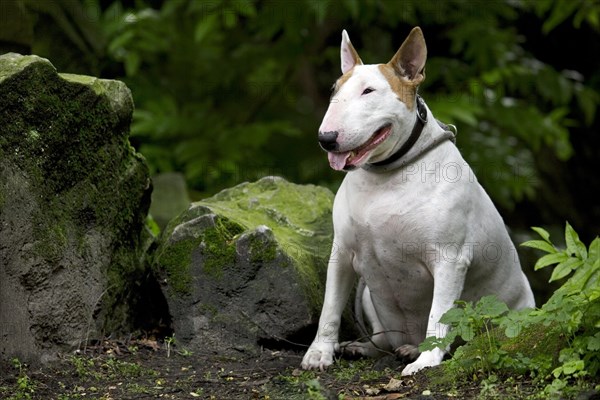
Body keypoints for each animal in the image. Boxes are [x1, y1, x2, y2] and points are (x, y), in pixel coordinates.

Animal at [300, 26, 536, 376]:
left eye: (369, 91)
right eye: (334, 89)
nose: (326, 139)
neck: (385, 175)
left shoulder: (450, 259)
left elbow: (440, 315)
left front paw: (427, 361)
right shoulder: (341, 252)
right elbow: (330, 306)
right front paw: (319, 353)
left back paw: (416, 351)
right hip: (368, 295)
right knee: (383, 339)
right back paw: (367, 347)